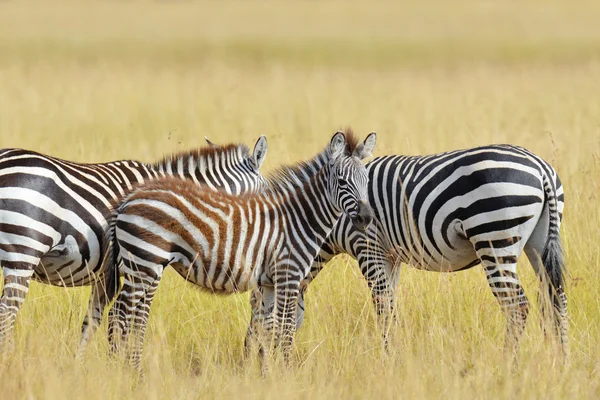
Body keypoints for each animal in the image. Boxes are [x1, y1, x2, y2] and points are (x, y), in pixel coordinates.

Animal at [0, 137, 268, 354]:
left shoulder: (106, 275)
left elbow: (93, 321)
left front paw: (82, 367)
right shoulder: (147, 265)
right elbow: (133, 321)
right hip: (23, 251)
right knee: (7, 312)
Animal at [103, 130, 376, 368]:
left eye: (367, 180)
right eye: (342, 181)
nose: (365, 218)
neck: (298, 217)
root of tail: (129, 198)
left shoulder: (270, 283)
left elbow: (269, 329)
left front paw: (268, 375)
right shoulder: (289, 274)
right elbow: (285, 329)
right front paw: (287, 373)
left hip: (143, 265)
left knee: (127, 314)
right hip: (145, 261)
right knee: (124, 315)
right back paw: (130, 372)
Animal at [247, 144, 568, 360]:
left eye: (255, 305)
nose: (250, 356)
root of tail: (540, 167)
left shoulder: (368, 248)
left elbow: (383, 308)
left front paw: (388, 360)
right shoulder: (390, 256)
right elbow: (391, 305)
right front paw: (395, 354)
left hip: (494, 238)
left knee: (518, 306)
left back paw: (507, 364)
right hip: (539, 243)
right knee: (555, 299)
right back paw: (559, 360)